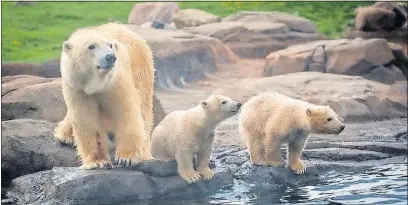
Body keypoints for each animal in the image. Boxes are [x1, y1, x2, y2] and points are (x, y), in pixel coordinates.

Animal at [54, 22, 155, 170]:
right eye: (91, 46)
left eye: (110, 45)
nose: (110, 57)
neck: (96, 84)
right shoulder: (77, 89)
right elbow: (87, 120)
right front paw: (98, 162)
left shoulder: (116, 83)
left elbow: (127, 113)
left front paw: (127, 158)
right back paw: (64, 136)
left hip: (140, 70)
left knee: (144, 110)